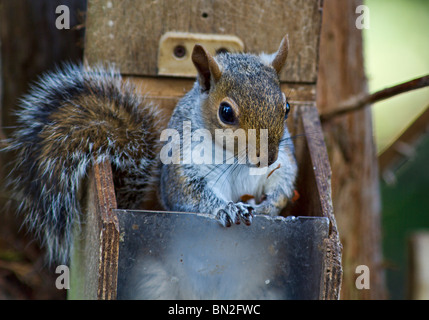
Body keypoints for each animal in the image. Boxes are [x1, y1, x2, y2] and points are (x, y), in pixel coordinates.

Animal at [5, 35, 296, 264]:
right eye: (226, 112)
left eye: (286, 106)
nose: (267, 158)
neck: (234, 160)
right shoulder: (184, 165)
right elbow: (189, 195)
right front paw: (227, 208)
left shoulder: (285, 162)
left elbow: (283, 186)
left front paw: (268, 207)